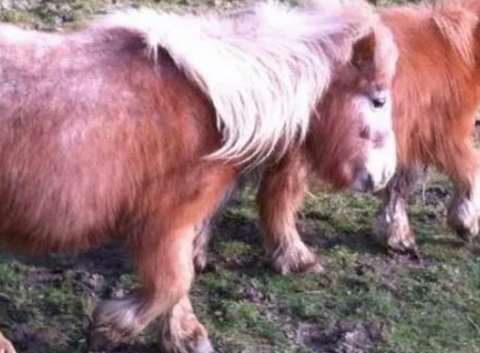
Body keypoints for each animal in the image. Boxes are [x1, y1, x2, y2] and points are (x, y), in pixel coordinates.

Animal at [0, 1, 398, 350]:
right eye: (378, 100)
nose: (383, 174)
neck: (215, 108)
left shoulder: (176, 226)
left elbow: (178, 280)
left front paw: (185, 336)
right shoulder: (166, 221)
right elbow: (173, 283)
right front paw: (112, 327)